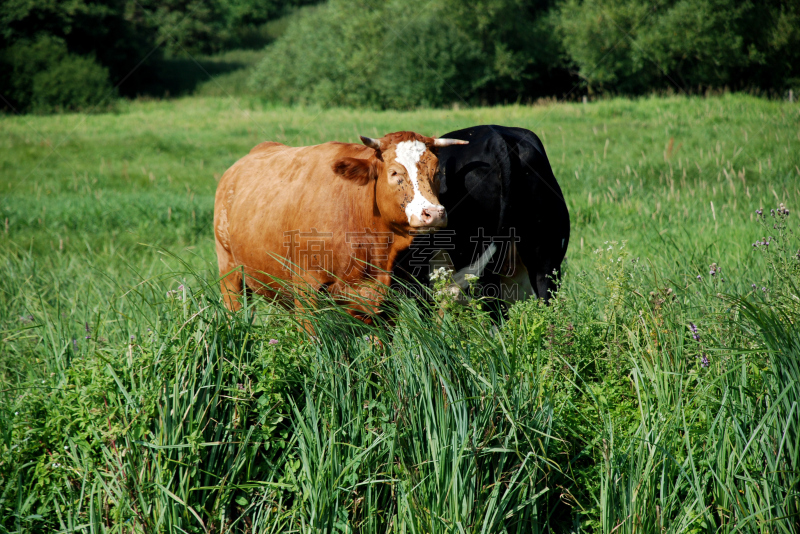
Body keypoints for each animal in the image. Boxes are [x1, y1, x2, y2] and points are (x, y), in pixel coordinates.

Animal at [216, 132, 466, 324]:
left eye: (436, 172)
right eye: (394, 172)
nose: (434, 213)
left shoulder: (384, 297)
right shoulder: (307, 289)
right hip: (230, 273)